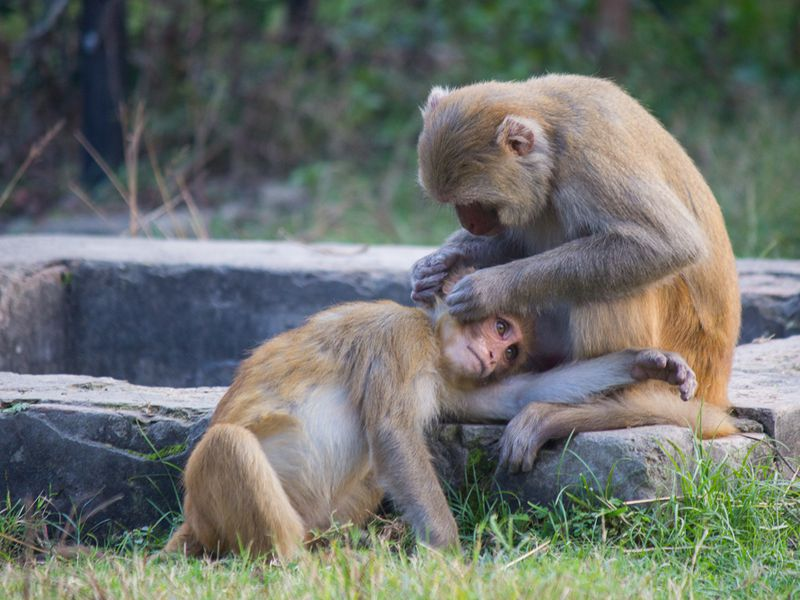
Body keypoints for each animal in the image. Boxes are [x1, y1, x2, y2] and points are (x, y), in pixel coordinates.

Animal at [162, 294, 692, 556]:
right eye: (501, 328)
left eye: (511, 350)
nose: (494, 356)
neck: (431, 340)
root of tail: (190, 523)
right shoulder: (397, 338)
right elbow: (393, 431)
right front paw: (448, 556)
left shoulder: (447, 374)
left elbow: (512, 396)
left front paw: (648, 363)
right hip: (213, 513)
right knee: (228, 443)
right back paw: (296, 567)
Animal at [412, 74, 744, 474]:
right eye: (458, 206)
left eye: (477, 203)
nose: (471, 224)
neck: (552, 139)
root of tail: (718, 389)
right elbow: (514, 240)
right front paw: (436, 266)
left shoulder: (590, 159)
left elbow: (668, 243)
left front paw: (486, 289)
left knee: (612, 285)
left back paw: (597, 410)